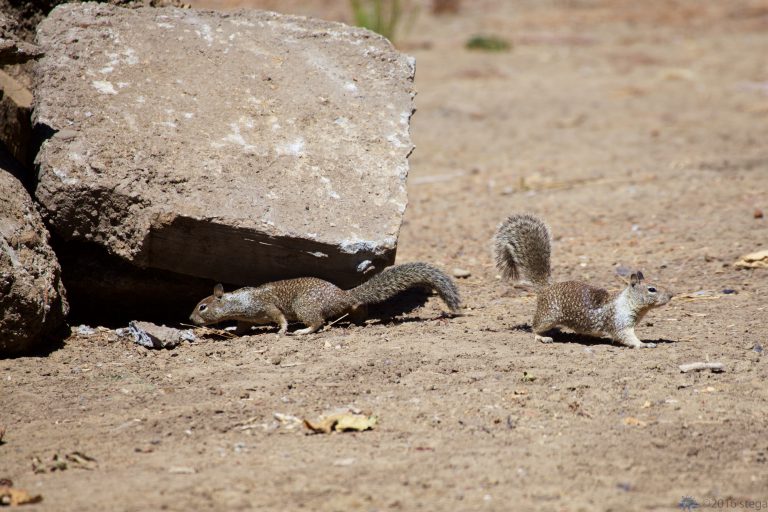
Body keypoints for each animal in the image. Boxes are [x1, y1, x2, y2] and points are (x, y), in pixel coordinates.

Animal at [189, 262, 461, 335]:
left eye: (202, 306)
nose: (190, 319)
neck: (237, 302)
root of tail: (341, 293)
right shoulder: (247, 317)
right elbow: (241, 327)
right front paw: (230, 329)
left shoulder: (264, 307)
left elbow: (278, 317)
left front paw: (283, 330)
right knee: (355, 306)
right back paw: (357, 319)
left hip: (304, 306)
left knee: (318, 322)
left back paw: (303, 331)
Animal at [492, 213, 672, 348]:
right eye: (652, 289)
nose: (671, 295)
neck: (628, 302)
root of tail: (546, 288)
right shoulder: (619, 323)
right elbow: (627, 337)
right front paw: (644, 344)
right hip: (547, 316)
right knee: (535, 328)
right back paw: (542, 337)